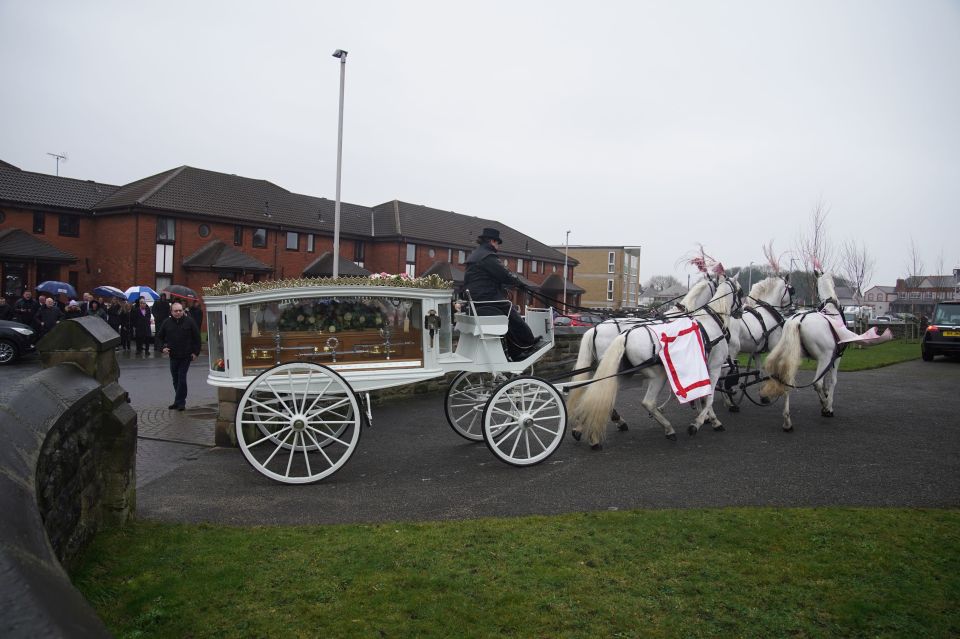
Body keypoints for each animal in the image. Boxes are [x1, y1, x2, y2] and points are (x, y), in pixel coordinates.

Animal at [760, 272, 844, 432]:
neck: (831, 311)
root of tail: (797, 320)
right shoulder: (834, 357)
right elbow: (832, 381)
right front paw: (828, 405)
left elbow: (825, 381)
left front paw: (825, 397)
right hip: (824, 357)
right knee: (816, 384)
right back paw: (825, 406)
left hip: (791, 356)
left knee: (786, 379)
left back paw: (787, 422)